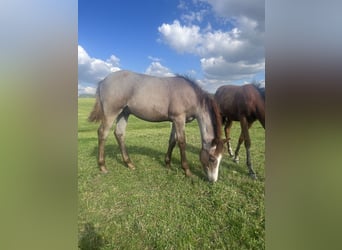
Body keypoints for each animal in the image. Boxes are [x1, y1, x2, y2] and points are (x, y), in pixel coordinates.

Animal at [88, 70, 224, 182]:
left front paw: (168, 164)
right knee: (102, 133)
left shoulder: (174, 120)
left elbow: (172, 141)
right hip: (111, 112)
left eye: (220, 158)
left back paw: (129, 163)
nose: (213, 180)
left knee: (119, 133)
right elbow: (182, 142)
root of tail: (104, 80)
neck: (191, 95)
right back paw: (102, 166)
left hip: (124, 113)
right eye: (212, 159)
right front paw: (187, 171)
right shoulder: (179, 119)